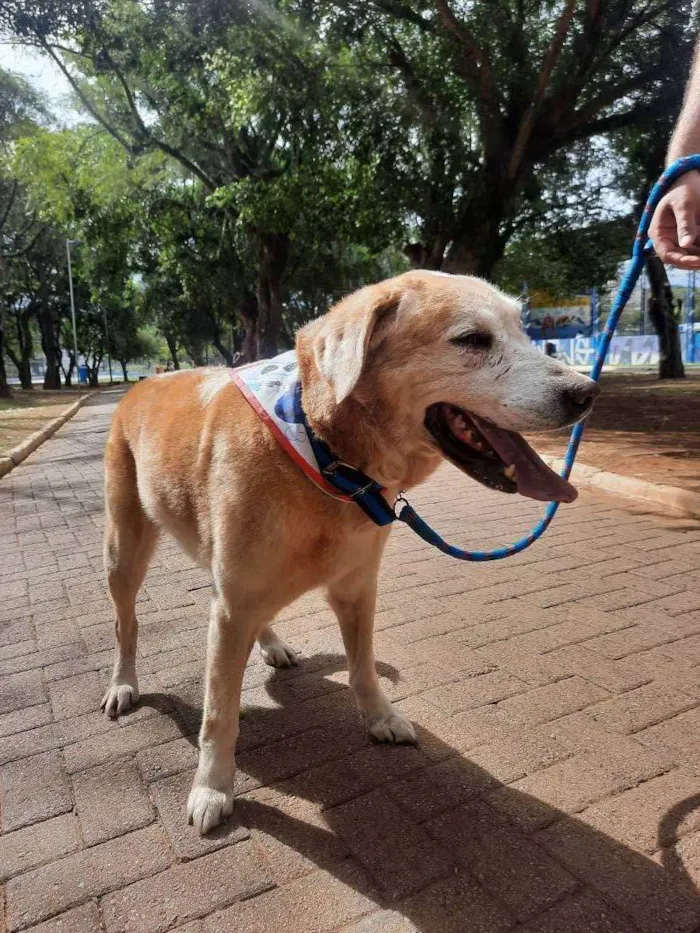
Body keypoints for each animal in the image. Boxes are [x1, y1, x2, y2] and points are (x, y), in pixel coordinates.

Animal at [102, 268, 596, 832]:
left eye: (524, 328)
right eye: (472, 339)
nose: (587, 392)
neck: (324, 453)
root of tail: (145, 382)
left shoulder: (357, 587)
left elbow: (363, 667)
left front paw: (382, 718)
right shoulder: (232, 607)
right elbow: (218, 714)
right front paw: (212, 787)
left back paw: (271, 644)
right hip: (125, 552)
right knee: (125, 625)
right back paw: (123, 683)